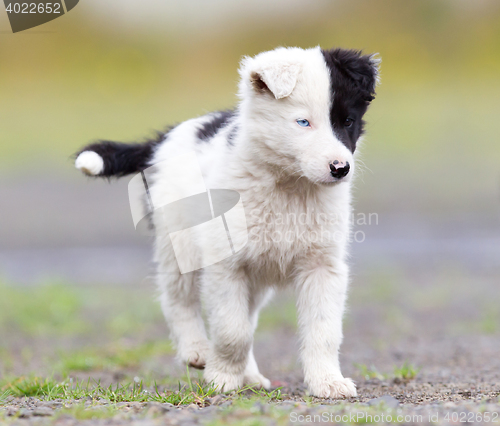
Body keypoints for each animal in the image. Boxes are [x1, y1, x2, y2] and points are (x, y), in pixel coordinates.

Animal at [75, 46, 378, 400]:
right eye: (303, 122)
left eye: (348, 121)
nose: (340, 168)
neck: (288, 186)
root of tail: (165, 139)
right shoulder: (226, 264)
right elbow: (233, 330)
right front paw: (221, 377)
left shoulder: (322, 266)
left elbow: (323, 329)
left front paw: (327, 382)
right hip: (179, 244)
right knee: (178, 300)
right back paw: (196, 350)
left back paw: (249, 374)